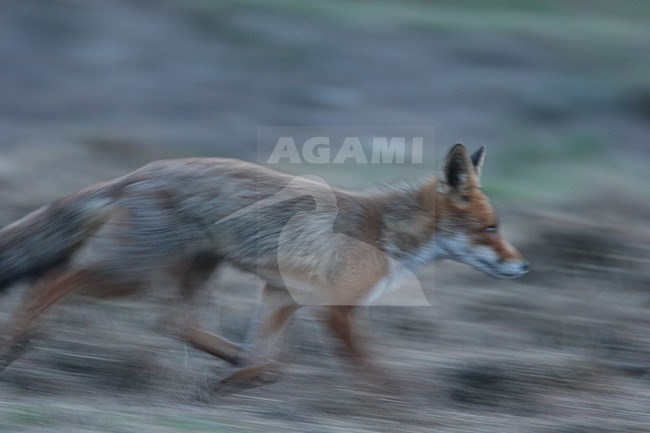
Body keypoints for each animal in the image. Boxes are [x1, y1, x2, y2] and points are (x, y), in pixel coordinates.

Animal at [0, 143, 528, 386]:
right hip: (129, 273)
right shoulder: (335, 311)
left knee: (174, 323)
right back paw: (14, 345)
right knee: (48, 281)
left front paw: (232, 384)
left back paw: (230, 360)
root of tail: (137, 174)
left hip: (193, 270)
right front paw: (398, 412)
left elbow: (269, 359)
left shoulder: (282, 295)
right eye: (489, 229)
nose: (522, 268)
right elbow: (371, 374)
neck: (386, 231)